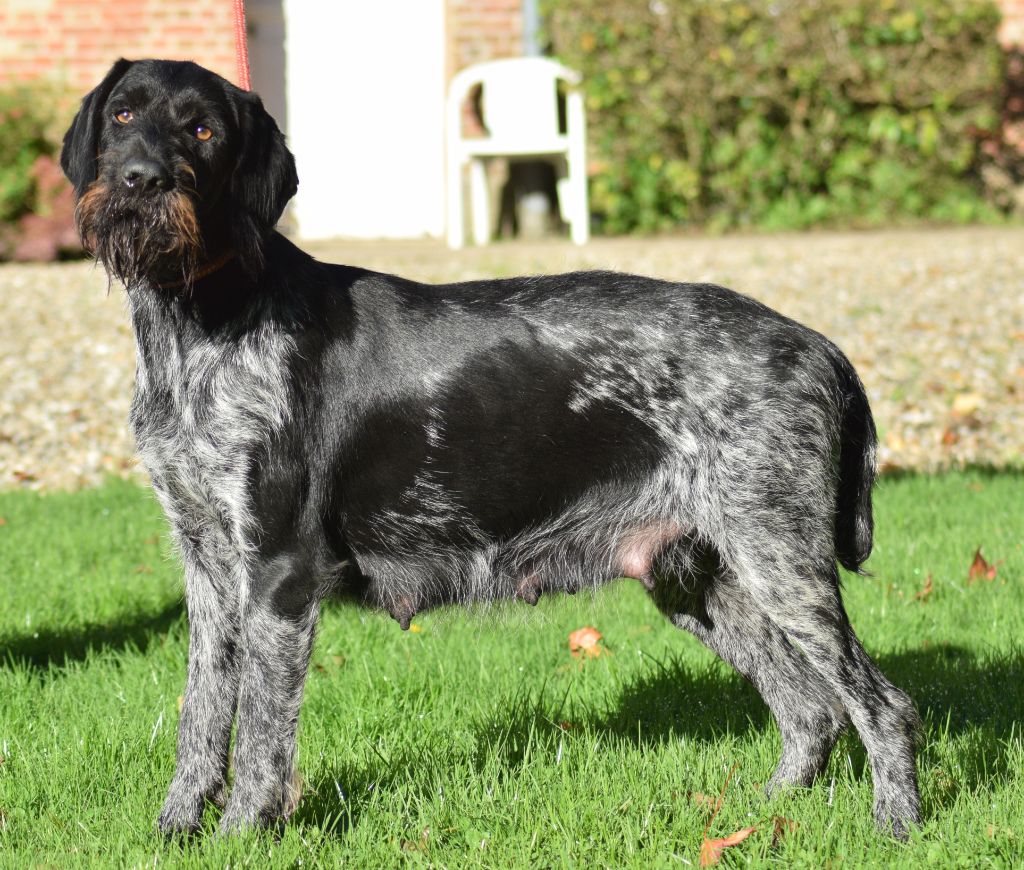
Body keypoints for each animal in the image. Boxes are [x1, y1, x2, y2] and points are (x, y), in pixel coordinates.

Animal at [61, 57, 929, 839]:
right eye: (124, 115)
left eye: (203, 130)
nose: (139, 181)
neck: (198, 321)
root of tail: (816, 344)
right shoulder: (208, 562)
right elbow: (203, 712)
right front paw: (177, 827)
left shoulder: (278, 570)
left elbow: (263, 735)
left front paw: (243, 834)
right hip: (700, 580)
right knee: (810, 707)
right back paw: (764, 812)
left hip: (779, 559)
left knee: (880, 704)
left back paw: (896, 823)